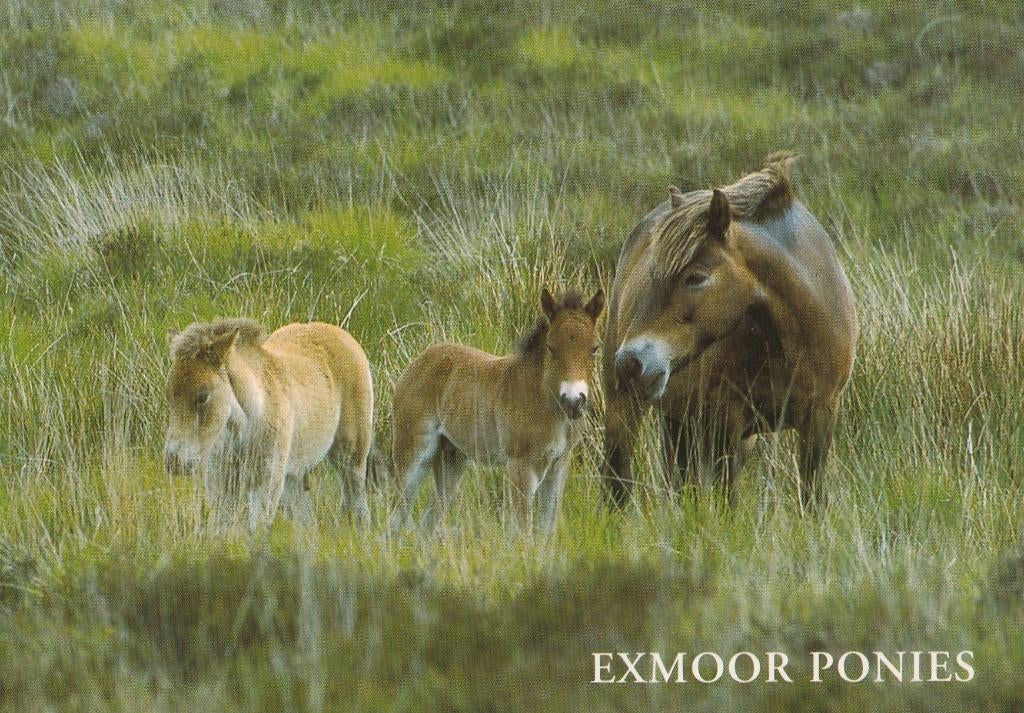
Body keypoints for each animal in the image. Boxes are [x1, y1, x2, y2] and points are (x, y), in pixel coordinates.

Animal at [163, 318, 374, 530]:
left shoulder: (266, 481)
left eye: (202, 396)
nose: (174, 461)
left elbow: (257, 528)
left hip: (351, 456)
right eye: (169, 396)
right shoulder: (222, 483)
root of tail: (342, 335)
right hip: (294, 476)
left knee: (358, 503)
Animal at [389, 288, 604, 533]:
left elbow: (545, 532)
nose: (573, 401)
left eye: (594, 348)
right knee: (395, 516)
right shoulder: (521, 466)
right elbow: (522, 530)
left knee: (428, 520)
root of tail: (417, 363)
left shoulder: (558, 467)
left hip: (452, 459)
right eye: (551, 348)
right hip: (413, 455)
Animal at [602, 153, 857, 509]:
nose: (630, 363)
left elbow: (812, 499)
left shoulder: (820, 419)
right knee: (619, 483)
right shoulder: (726, 422)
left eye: (696, 277)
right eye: (651, 275)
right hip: (627, 411)